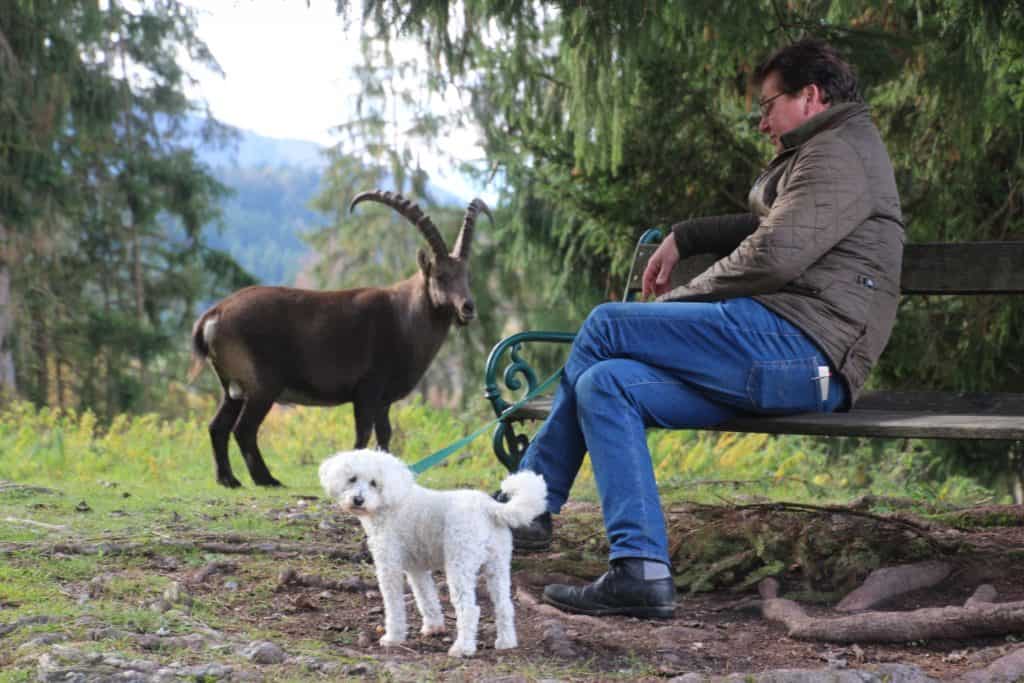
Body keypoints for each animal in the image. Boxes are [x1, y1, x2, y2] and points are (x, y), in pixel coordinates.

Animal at [319, 448, 548, 655]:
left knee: (470, 610)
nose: (358, 500)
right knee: (504, 606)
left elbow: (394, 605)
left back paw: (462, 648)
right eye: (352, 479)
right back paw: (506, 642)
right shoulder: (416, 568)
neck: (390, 502)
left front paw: (393, 638)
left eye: (374, 483)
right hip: (497, 566)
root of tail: (490, 508)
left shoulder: (389, 565)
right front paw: (433, 627)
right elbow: (426, 597)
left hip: (459, 564)